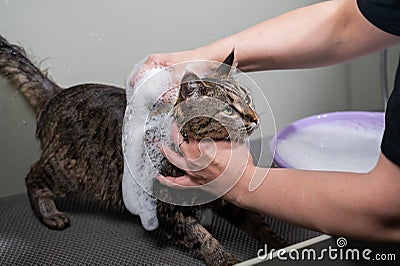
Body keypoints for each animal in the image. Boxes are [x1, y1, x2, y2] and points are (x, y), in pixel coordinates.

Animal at [0, 34, 288, 264]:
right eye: (228, 109)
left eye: (248, 99)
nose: (255, 118)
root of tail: (57, 92)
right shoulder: (169, 210)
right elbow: (204, 240)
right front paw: (227, 259)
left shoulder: (228, 196)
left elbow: (258, 221)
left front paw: (282, 245)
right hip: (68, 169)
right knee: (33, 176)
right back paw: (49, 214)